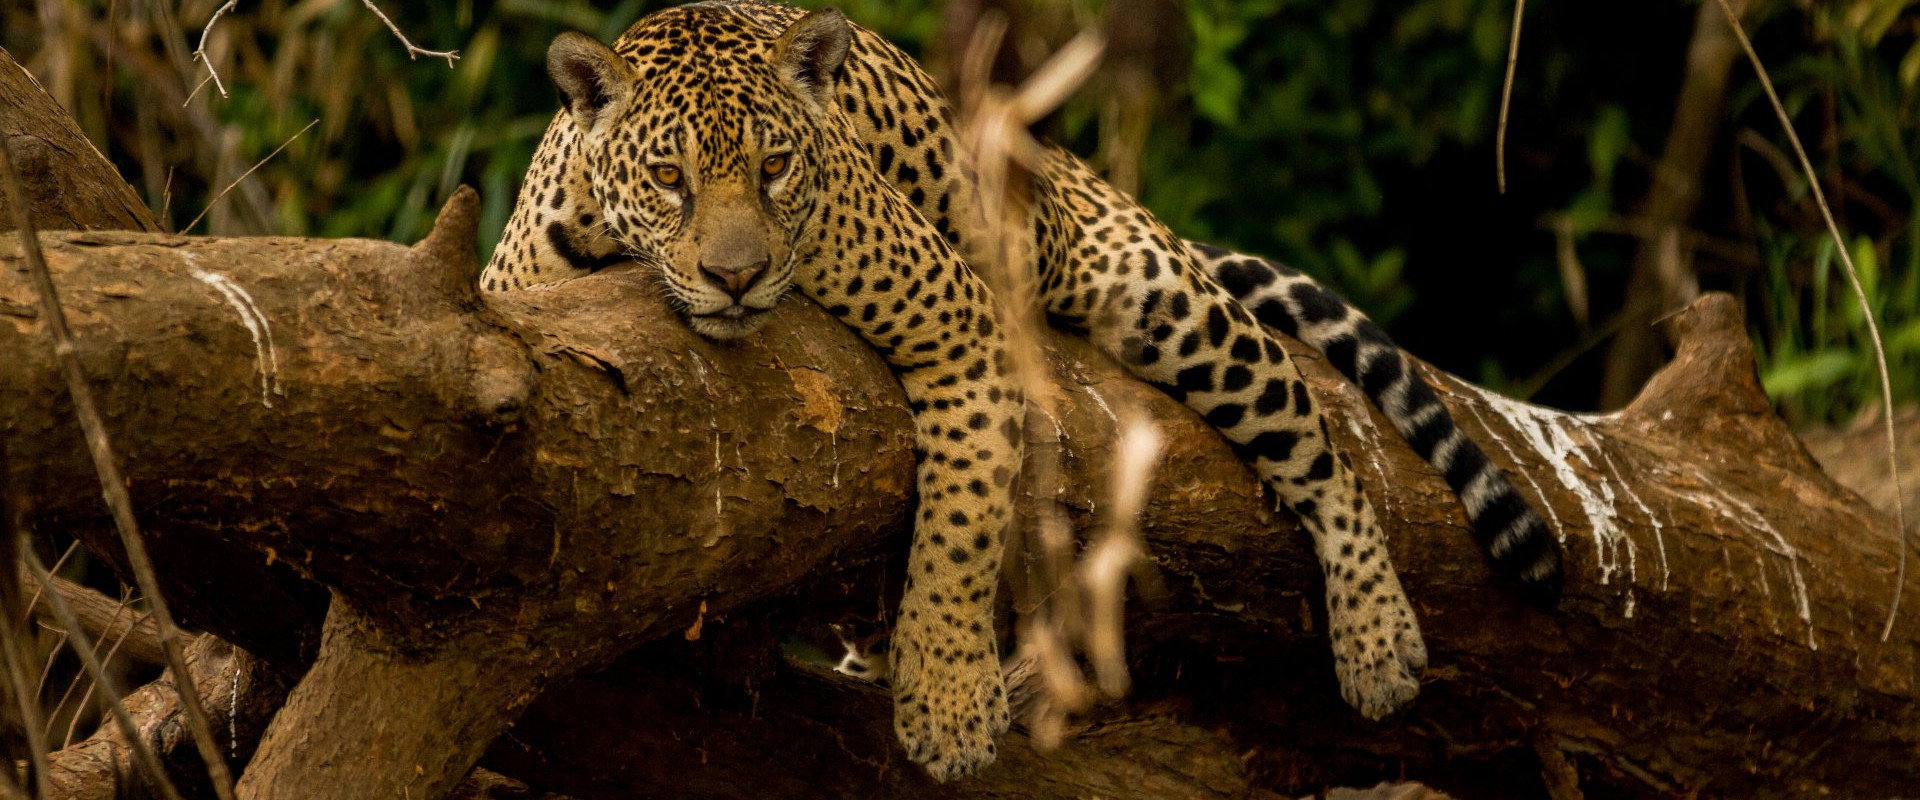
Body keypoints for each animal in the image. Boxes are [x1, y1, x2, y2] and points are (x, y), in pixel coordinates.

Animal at [481, 0, 1565, 780]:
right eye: (669, 177)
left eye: (776, 165)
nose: (736, 275)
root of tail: (1075, 171)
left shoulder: (961, 319)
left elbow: (960, 528)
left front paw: (950, 704)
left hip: (1163, 302)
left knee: (1321, 446)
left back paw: (1378, 638)